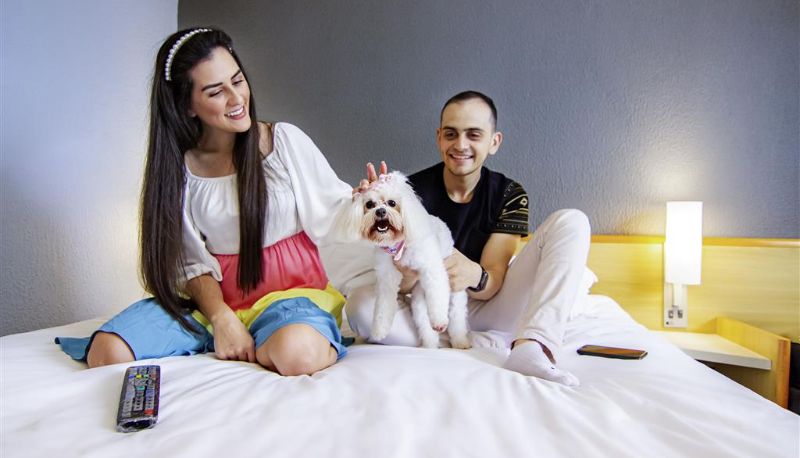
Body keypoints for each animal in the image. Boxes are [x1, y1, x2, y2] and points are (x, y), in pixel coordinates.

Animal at [333, 172, 470, 349]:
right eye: (369, 204)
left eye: (392, 203)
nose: (380, 211)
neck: (398, 246)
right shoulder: (387, 278)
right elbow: (383, 307)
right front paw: (379, 330)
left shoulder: (432, 270)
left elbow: (438, 297)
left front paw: (439, 320)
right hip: (418, 298)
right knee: (423, 321)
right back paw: (430, 344)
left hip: (454, 292)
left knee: (456, 314)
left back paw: (460, 341)